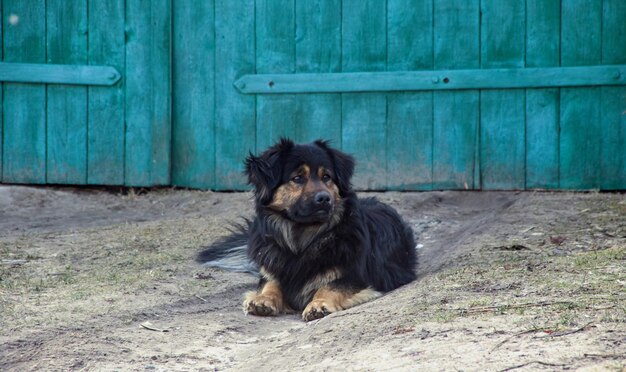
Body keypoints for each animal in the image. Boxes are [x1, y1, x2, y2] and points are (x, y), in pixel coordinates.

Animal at [197, 138, 416, 322]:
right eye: (297, 178)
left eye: (326, 177)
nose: (324, 199)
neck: (302, 239)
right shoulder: (272, 269)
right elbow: (270, 283)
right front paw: (263, 299)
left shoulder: (356, 277)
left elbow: (330, 286)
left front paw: (318, 304)